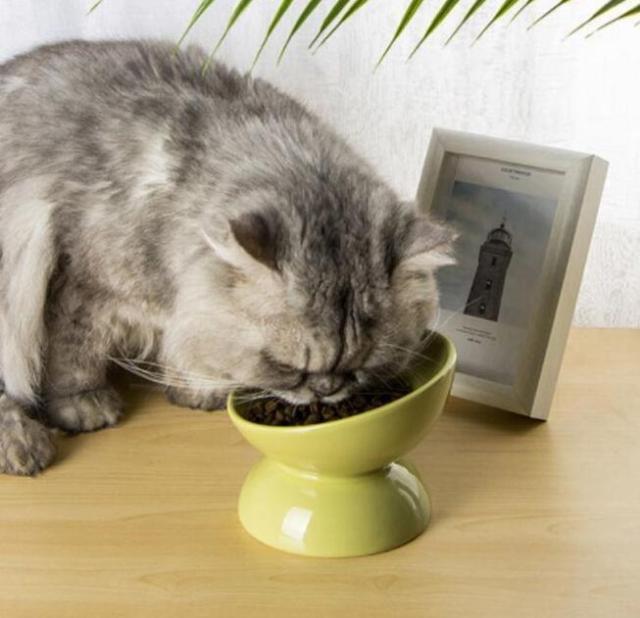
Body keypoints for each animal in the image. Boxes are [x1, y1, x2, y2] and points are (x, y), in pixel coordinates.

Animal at [0, 40, 453, 476]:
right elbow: (74, 353)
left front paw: (199, 389)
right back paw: (23, 445)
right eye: (287, 366)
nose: (327, 389)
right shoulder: (80, 282)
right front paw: (83, 403)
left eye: (363, 365)